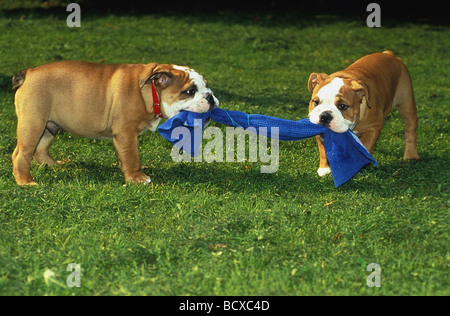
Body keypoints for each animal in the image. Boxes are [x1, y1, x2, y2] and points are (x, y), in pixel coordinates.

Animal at [11, 60, 219, 186]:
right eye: (190, 91)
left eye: (207, 87)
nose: (210, 97)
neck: (149, 91)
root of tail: (29, 73)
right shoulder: (126, 132)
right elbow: (132, 156)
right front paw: (136, 177)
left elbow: (125, 156)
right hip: (34, 123)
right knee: (22, 153)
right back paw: (25, 181)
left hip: (50, 125)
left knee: (41, 148)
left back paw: (52, 164)